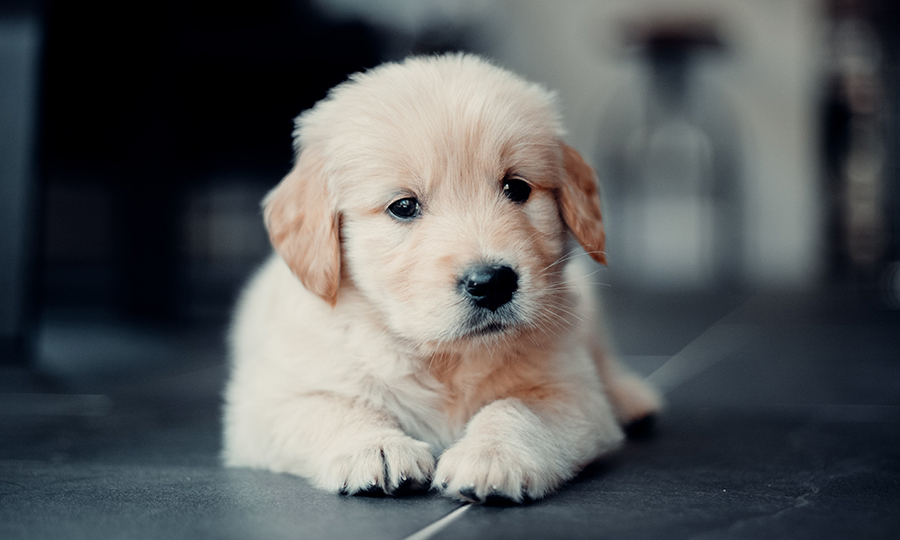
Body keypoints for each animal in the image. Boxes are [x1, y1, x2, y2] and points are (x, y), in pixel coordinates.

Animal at [223, 53, 660, 502]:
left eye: (517, 188)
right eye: (403, 206)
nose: (492, 283)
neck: (442, 357)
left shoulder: (571, 392)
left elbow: (518, 409)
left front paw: (492, 454)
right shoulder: (268, 402)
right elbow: (332, 407)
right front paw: (377, 447)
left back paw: (632, 397)